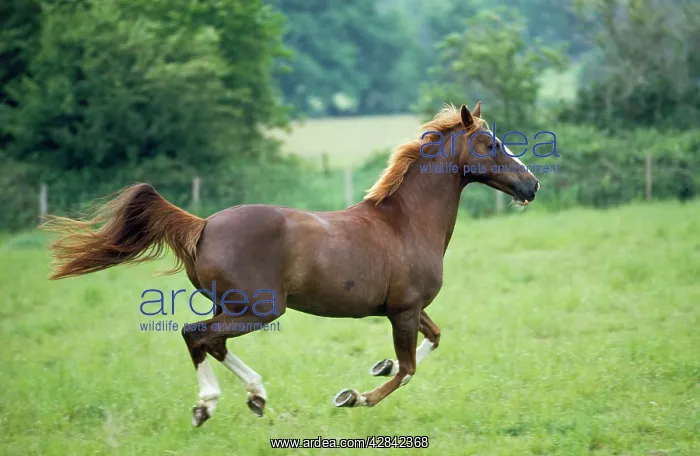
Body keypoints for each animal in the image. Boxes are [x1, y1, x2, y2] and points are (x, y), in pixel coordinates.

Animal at [44, 102, 540, 427]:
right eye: (491, 143)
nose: (531, 184)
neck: (406, 223)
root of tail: (202, 225)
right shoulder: (402, 311)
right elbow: (408, 369)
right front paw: (353, 397)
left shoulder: (410, 309)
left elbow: (433, 340)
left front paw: (374, 368)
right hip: (260, 309)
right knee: (195, 334)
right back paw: (207, 405)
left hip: (235, 307)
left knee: (211, 342)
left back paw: (256, 398)